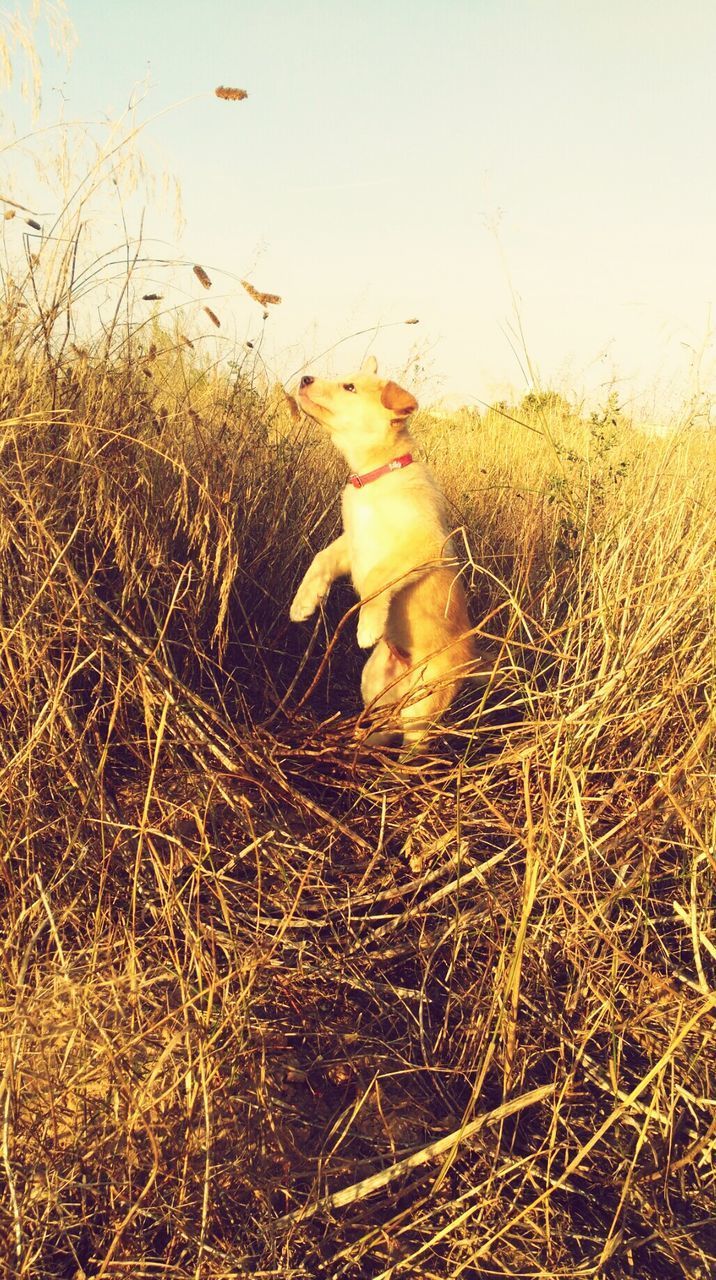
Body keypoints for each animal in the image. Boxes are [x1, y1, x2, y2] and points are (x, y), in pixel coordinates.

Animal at [288, 355, 473, 747]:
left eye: (349, 387)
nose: (305, 378)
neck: (374, 477)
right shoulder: (351, 543)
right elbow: (320, 559)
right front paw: (304, 602)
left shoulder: (424, 545)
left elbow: (376, 579)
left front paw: (367, 625)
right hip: (373, 684)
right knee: (380, 728)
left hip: (421, 710)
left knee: (412, 749)